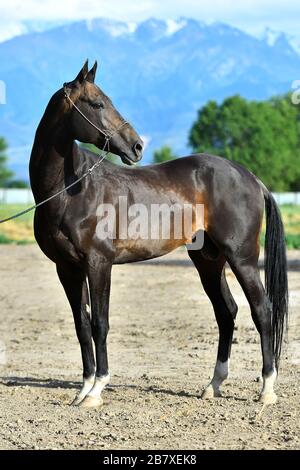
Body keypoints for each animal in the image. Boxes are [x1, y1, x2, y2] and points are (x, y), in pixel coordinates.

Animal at [29, 60, 288, 408]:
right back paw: (213, 385)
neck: (72, 189)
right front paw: (83, 390)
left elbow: (99, 324)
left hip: (242, 258)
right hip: (209, 261)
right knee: (226, 312)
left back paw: (267, 389)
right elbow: (81, 325)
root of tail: (251, 177)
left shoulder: (99, 264)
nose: (137, 146)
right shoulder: (67, 268)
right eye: (97, 104)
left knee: (262, 311)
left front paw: (97, 389)